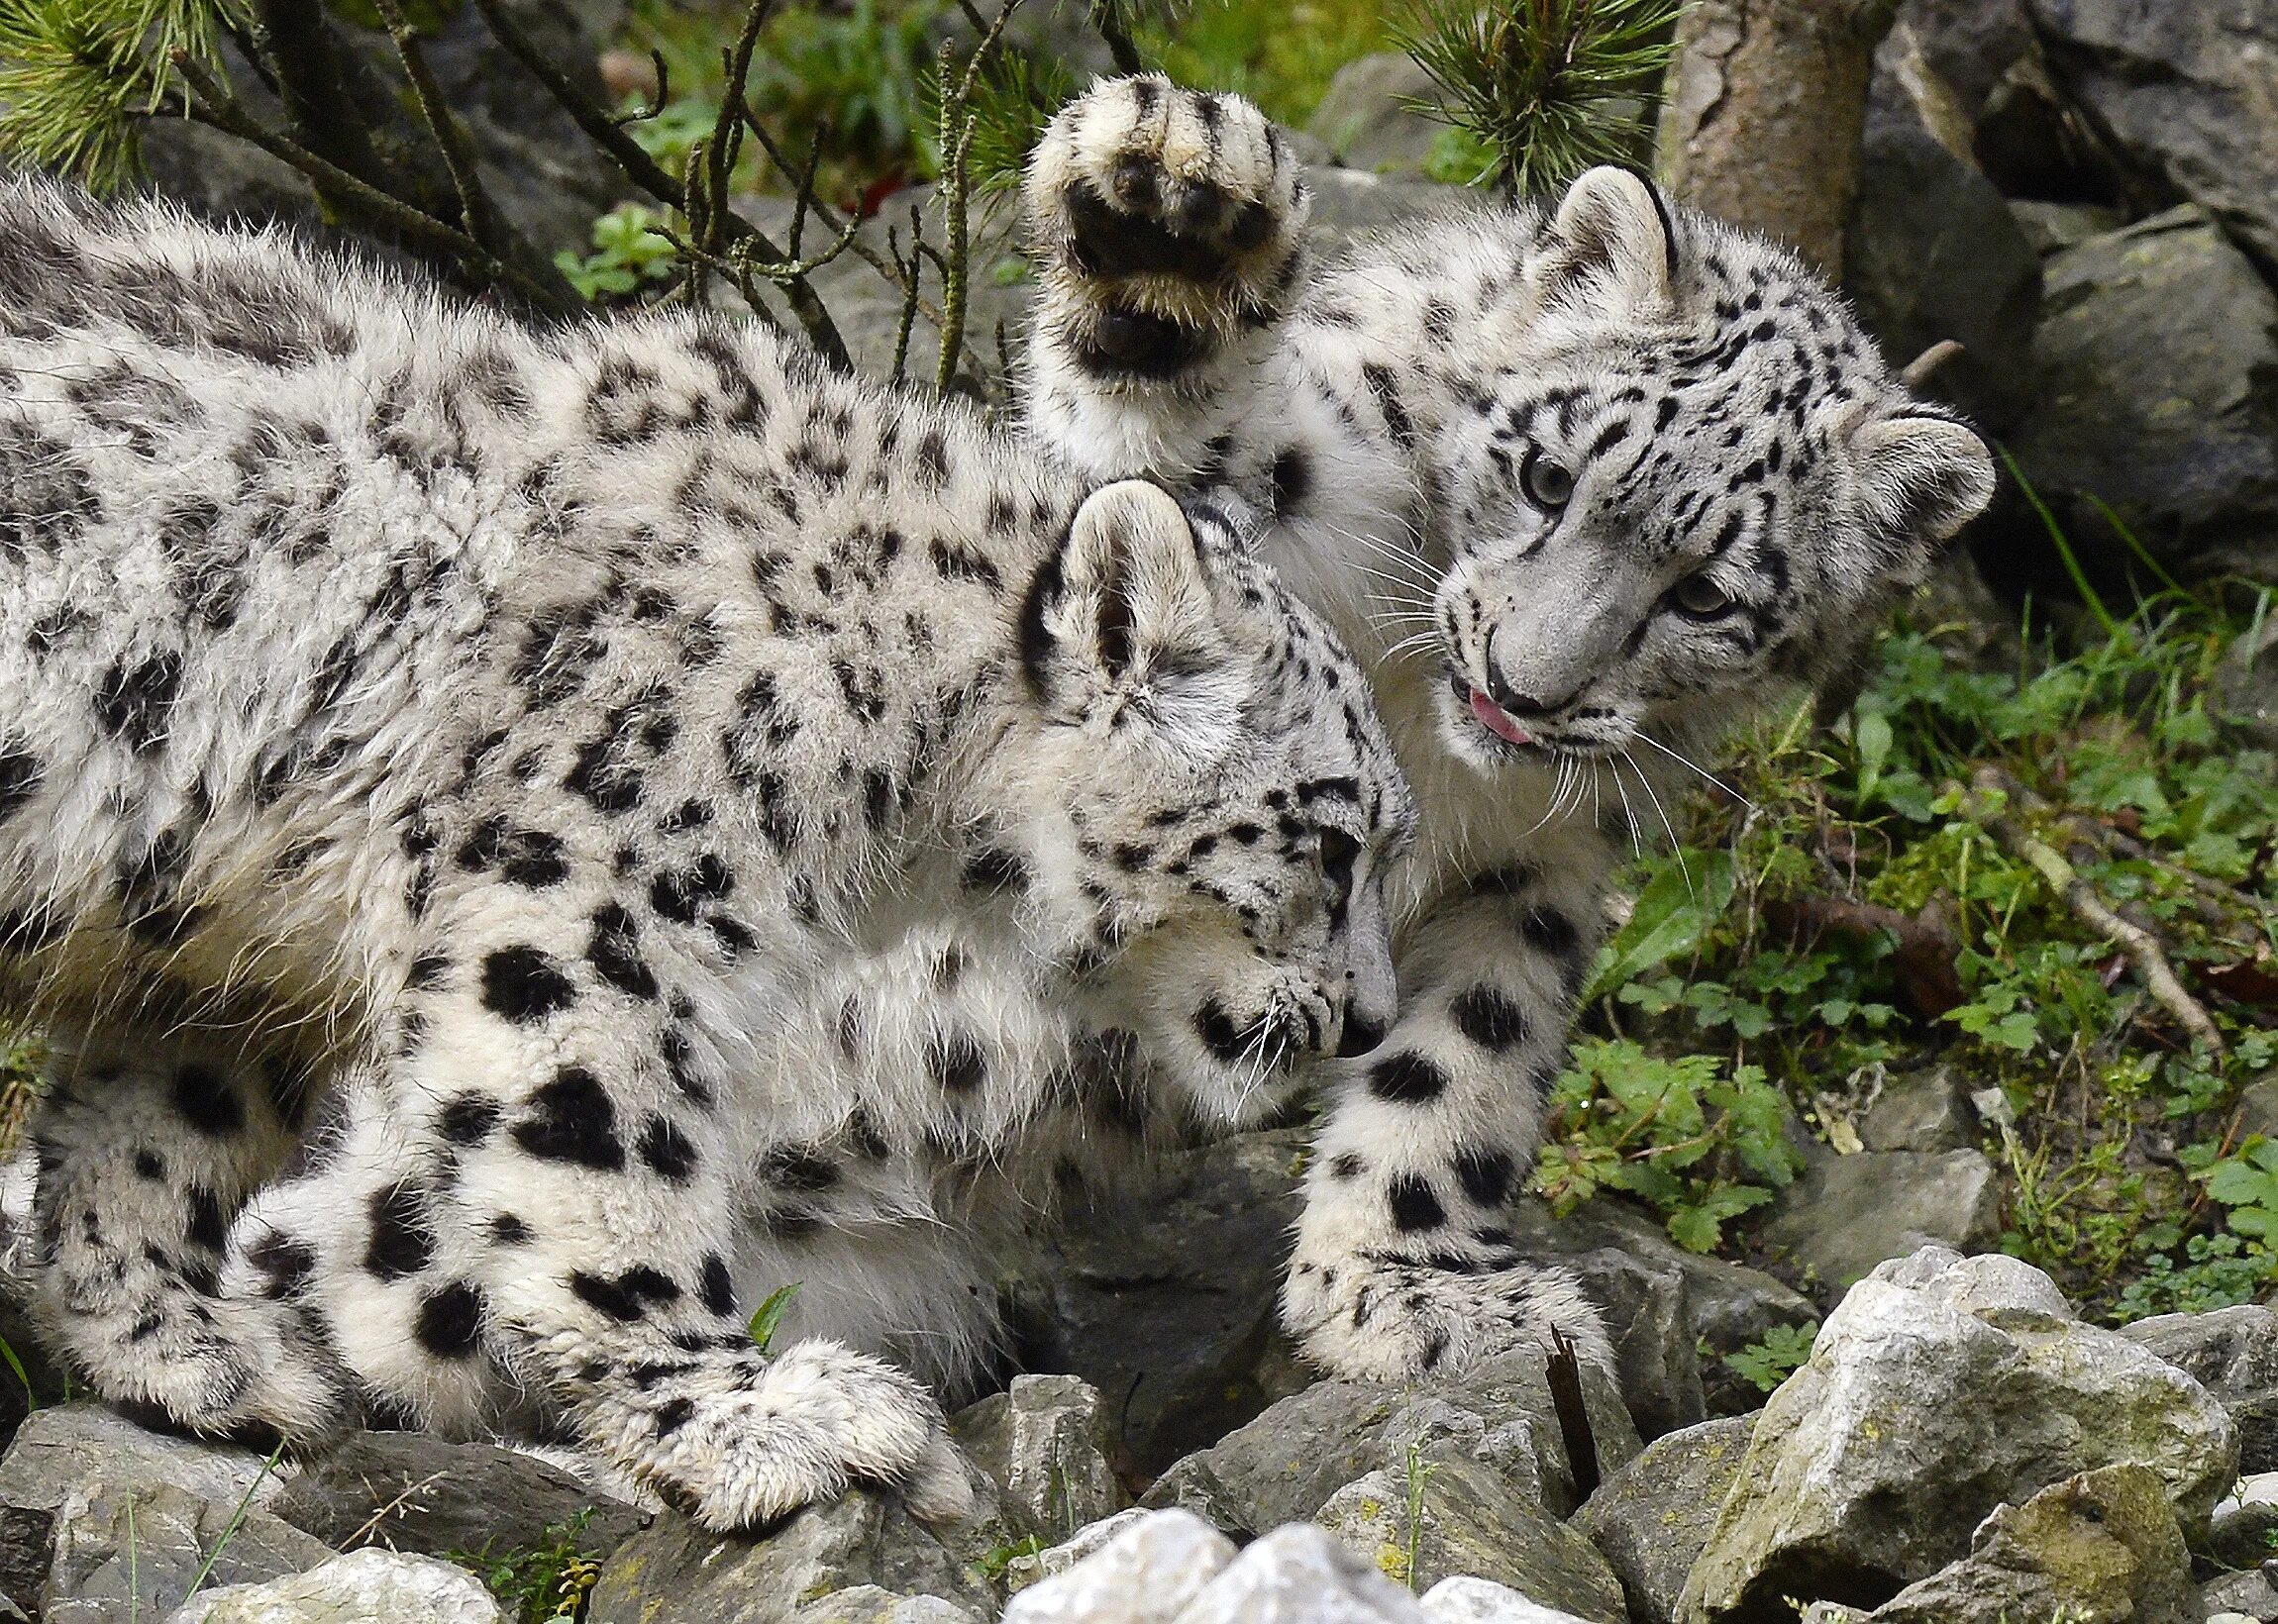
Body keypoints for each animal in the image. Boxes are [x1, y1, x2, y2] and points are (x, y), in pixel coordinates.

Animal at [0, 177, 1402, 1530]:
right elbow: (587, 1151)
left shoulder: (204, 944)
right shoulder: (571, 896)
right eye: (1334, 840)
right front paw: (755, 1419)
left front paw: (193, 1348)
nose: (1372, 1019)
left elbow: (152, 1130)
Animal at [1011, 78, 1995, 1384]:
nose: (1519, 688)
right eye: (1544, 477)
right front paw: (1171, 203)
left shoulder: (1537, 859)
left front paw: (1407, 1287)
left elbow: (1467, 1052)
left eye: (1704, 596)